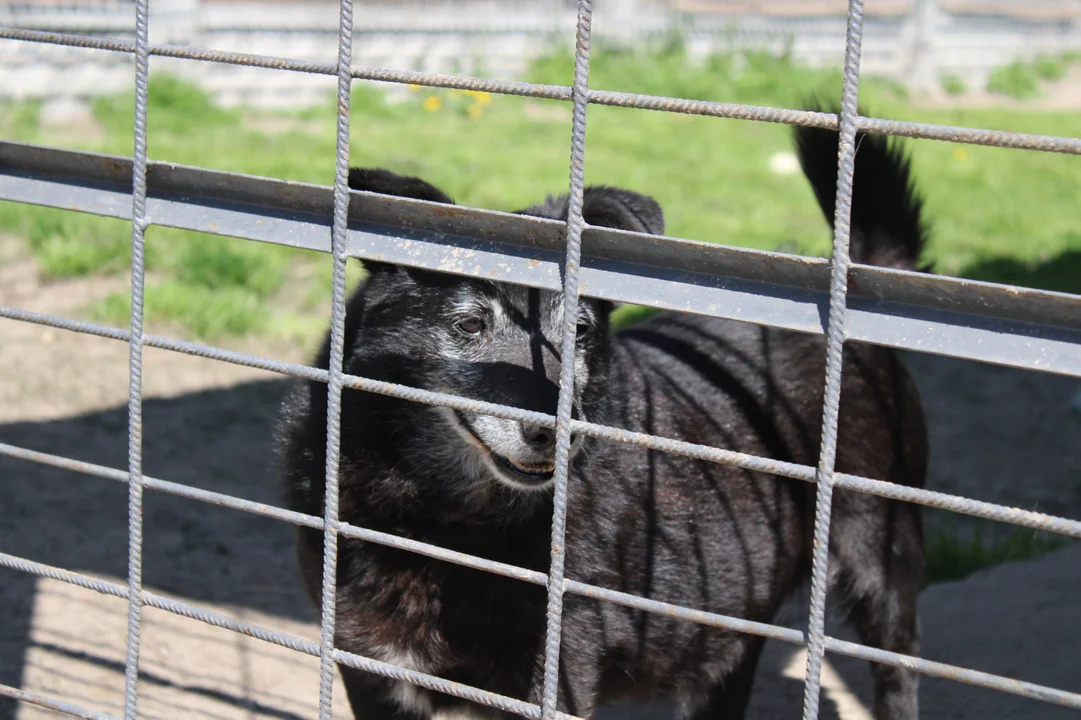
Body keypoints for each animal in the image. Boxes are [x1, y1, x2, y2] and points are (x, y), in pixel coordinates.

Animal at [281, 118, 929, 717]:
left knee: (898, 676)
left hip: (881, 563)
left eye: (580, 331)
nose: (554, 432)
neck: (444, 521)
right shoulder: (367, 667)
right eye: (469, 324)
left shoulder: (554, 677)